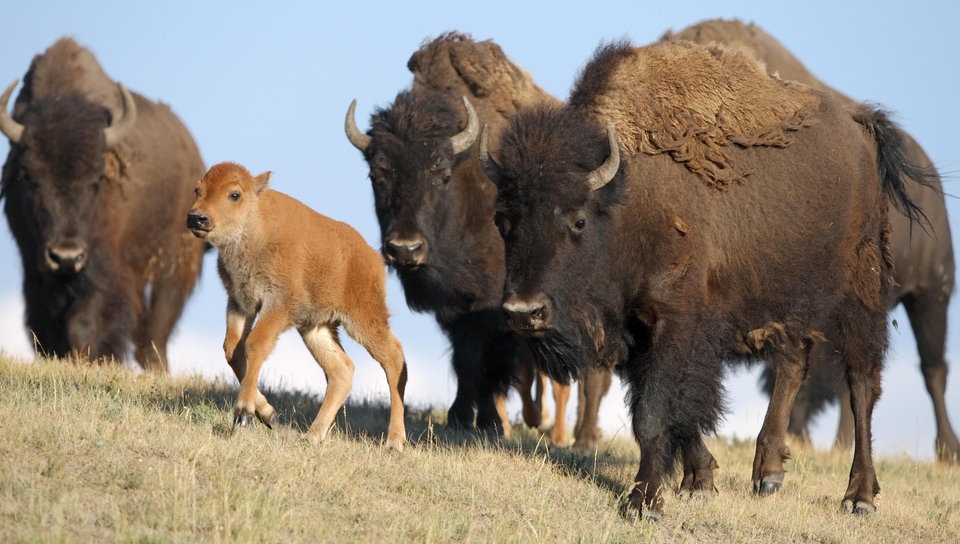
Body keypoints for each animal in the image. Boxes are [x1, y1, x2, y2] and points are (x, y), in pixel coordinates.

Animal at [0, 37, 204, 370]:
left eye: (96, 178)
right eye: (30, 178)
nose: (66, 256)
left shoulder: (105, 270)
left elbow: (88, 320)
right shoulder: (34, 270)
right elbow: (43, 324)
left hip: (175, 263)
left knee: (157, 330)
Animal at [188, 162, 408, 450]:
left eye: (234, 194)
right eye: (197, 189)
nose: (197, 218)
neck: (256, 225)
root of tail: (371, 256)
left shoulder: (278, 306)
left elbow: (254, 344)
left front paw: (244, 414)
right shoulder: (240, 303)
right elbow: (232, 350)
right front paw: (267, 414)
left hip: (363, 319)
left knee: (393, 357)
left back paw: (394, 441)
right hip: (315, 327)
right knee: (341, 370)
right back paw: (313, 435)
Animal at [484, 39, 928, 520]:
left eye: (578, 220)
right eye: (502, 220)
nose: (524, 312)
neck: (629, 201)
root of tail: (859, 126)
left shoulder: (675, 321)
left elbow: (654, 413)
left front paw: (645, 501)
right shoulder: (640, 331)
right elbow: (673, 410)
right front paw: (699, 480)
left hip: (859, 292)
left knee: (862, 383)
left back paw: (859, 496)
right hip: (790, 295)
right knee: (794, 363)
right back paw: (768, 474)